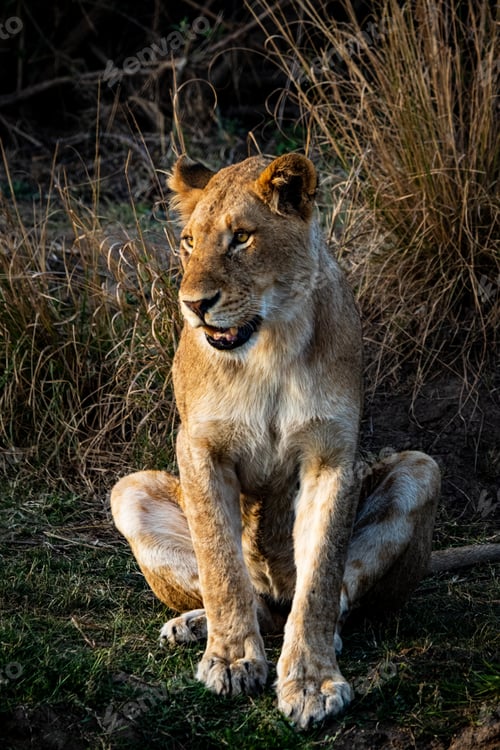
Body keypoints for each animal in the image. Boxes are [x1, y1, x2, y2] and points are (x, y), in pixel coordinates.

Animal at [110, 154, 500, 729]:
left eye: (241, 238)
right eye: (187, 242)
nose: (194, 304)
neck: (269, 344)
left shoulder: (331, 457)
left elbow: (319, 579)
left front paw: (313, 682)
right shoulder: (198, 448)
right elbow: (221, 564)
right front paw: (231, 660)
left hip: (421, 469)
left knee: (331, 595)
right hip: (128, 490)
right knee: (246, 597)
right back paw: (196, 625)